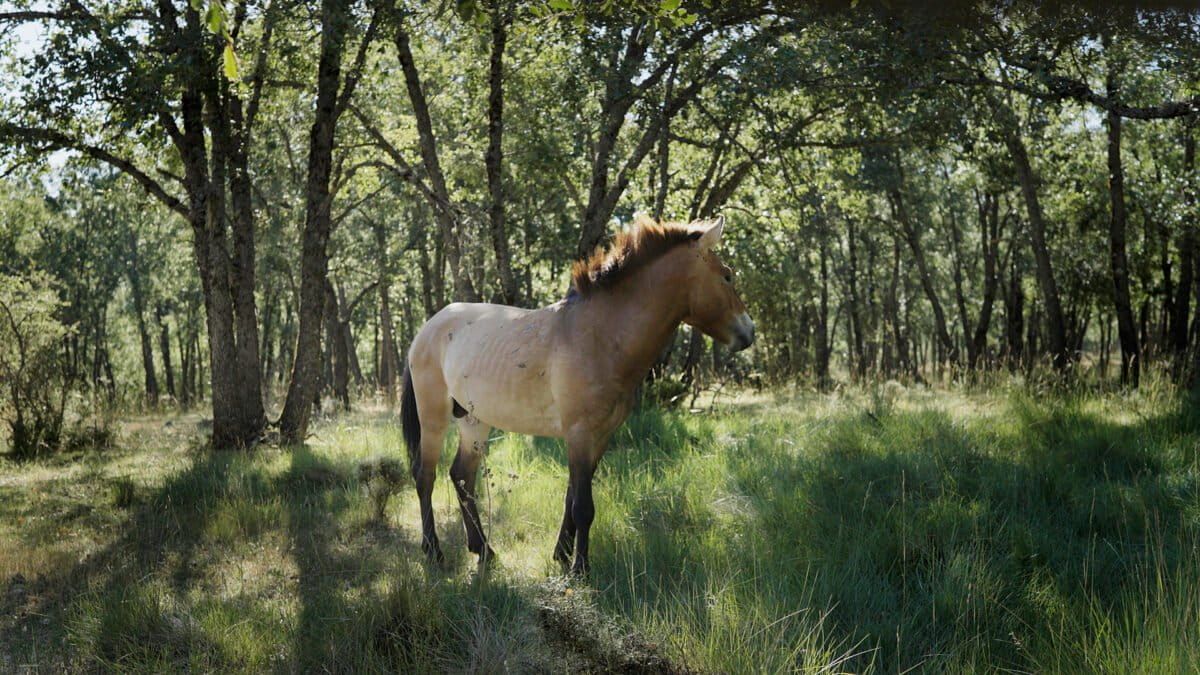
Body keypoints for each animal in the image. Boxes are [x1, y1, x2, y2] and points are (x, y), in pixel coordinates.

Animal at [400, 215, 754, 575]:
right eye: (727, 275)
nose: (748, 332)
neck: (600, 334)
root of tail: (427, 329)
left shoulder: (600, 436)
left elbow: (572, 498)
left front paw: (562, 554)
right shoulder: (580, 433)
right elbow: (583, 505)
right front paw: (579, 568)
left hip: (474, 421)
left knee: (462, 476)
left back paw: (483, 549)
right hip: (433, 418)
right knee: (425, 476)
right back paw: (434, 551)